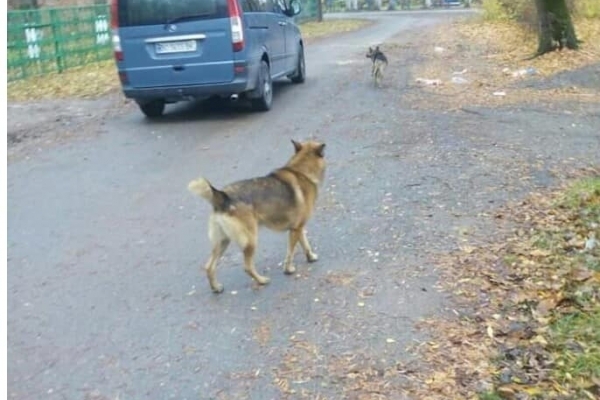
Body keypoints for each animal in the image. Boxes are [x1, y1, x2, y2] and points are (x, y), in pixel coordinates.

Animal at [189, 139, 326, 292]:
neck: (300, 170)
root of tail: (223, 197)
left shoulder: (298, 228)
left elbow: (305, 244)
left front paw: (310, 257)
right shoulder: (296, 230)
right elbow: (290, 252)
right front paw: (288, 269)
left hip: (223, 241)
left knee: (209, 266)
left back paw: (216, 288)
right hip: (250, 240)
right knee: (247, 267)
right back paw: (261, 280)